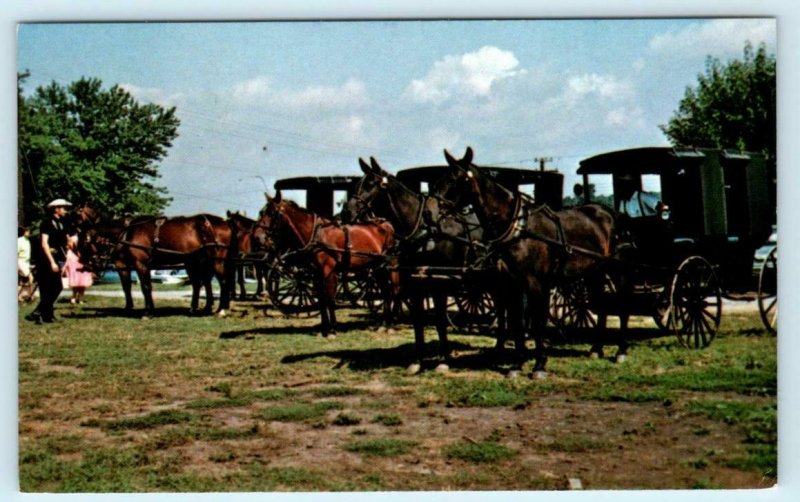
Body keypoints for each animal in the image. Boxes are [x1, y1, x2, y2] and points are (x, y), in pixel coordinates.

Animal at [75, 205, 234, 318]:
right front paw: (133, 308)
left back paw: (221, 310)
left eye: (84, 242)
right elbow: (130, 287)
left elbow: (145, 287)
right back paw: (203, 308)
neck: (126, 232)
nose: (84, 264)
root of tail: (224, 224)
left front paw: (147, 312)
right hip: (200, 262)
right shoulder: (129, 265)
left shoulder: (138, 264)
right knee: (203, 283)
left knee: (222, 282)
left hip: (215, 261)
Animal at [253, 192, 396, 338]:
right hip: (377, 268)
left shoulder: (329, 271)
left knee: (390, 291)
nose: (257, 238)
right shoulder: (316, 274)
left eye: (272, 213)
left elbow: (330, 299)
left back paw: (389, 324)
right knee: (385, 291)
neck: (317, 235)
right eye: (261, 212)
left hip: (387, 267)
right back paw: (384, 324)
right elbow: (321, 300)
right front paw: (324, 328)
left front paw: (332, 329)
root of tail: (387, 224)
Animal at [340, 157, 504, 372]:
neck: (423, 233)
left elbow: (440, 320)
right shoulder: (415, 285)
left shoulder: (439, 284)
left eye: (371, 184)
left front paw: (443, 360)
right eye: (358, 183)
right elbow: (418, 321)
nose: (347, 212)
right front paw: (417, 361)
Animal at [428, 146, 616, 376]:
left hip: (600, 271)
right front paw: (517, 364)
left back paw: (598, 348)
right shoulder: (511, 284)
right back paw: (596, 348)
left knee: (602, 306)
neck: (518, 228)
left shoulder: (534, 282)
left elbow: (536, 322)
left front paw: (539, 364)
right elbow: (517, 321)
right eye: (440, 178)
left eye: (457, 178)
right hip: (589, 273)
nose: (429, 213)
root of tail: (603, 211)